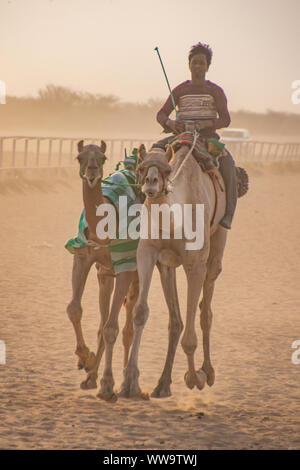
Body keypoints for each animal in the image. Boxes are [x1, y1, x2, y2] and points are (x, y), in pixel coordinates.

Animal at [66, 140, 139, 400]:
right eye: (79, 156)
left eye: (103, 157)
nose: (92, 172)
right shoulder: (84, 257)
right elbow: (74, 309)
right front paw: (85, 360)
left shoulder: (126, 267)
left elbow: (111, 329)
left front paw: (108, 386)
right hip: (106, 274)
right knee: (105, 320)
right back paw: (91, 378)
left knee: (126, 326)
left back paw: (130, 385)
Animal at [119, 138, 227, 398]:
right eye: (141, 168)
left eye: (167, 170)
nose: (151, 182)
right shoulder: (147, 252)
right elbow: (140, 312)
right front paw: (129, 383)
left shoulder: (195, 264)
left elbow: (190, 334)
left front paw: (194, 378)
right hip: (166, 266)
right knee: (176, 320)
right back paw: (162, 384)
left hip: (218, 239)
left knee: (206, 307)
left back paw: (207, 372)